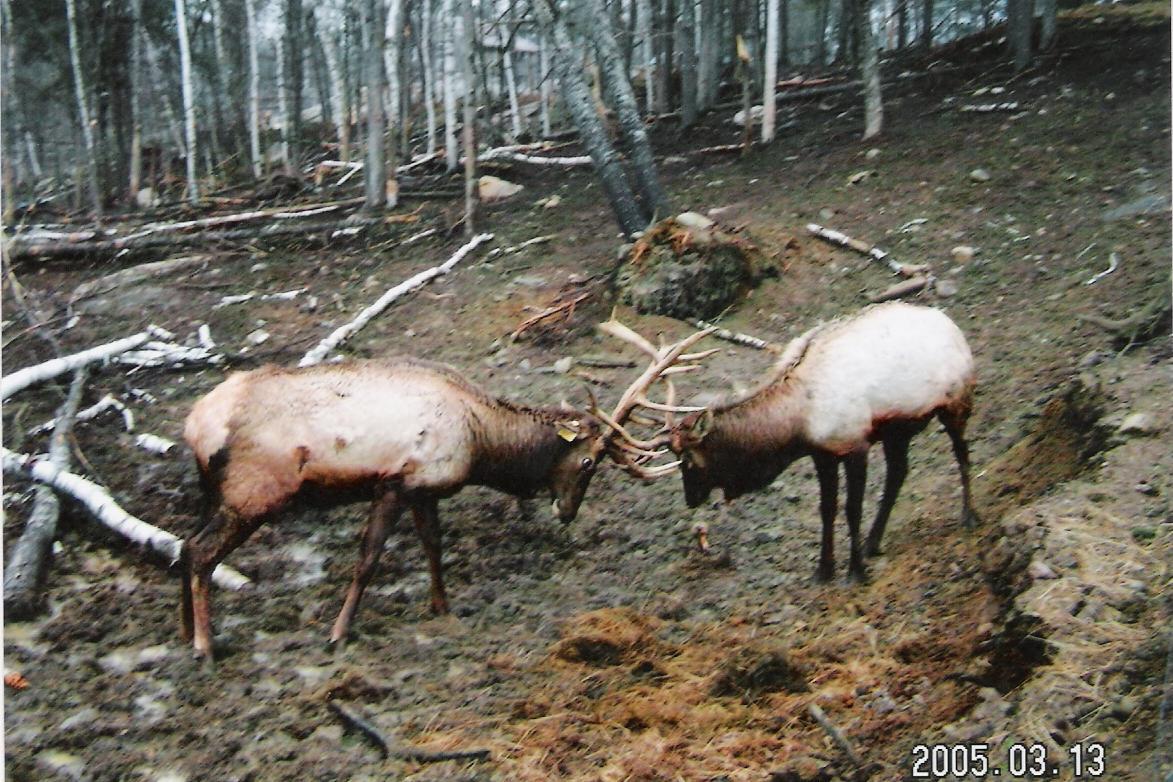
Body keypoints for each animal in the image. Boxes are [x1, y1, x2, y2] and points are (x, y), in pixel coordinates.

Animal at [177, 342, 699, 661]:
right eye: (589, 462)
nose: (566, 512)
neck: (481, 442)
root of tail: (195, 422)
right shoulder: (395, 482)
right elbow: (367, 561)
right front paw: (339, 632)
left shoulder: (424, 490)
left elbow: (433, 546)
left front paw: (442, 607)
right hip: (254, 492)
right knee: (201, 552)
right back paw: (204, 645)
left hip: (214, 492)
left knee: (183, 545)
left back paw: (185, 632)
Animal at [605, 302, 980, 583]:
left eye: (687, 459)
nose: (690, 499)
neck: (799, 421)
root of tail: (952, 324)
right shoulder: (822, 454)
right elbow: (827, 510)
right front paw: (823, 571)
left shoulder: (855, 443)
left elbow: (852, 509)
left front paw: (855, 573)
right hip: (897, 431)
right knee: (899, 474)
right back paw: (874, 543)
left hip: (956, 403)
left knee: (962, 453)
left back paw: (969, 516)